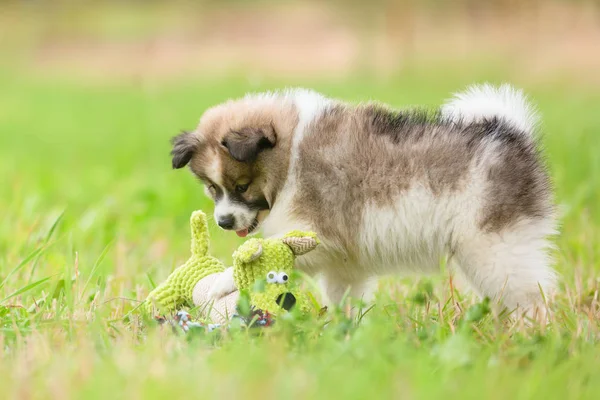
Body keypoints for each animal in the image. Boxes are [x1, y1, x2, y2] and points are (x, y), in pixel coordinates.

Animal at [171, 85, 556, 318]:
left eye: (242, 186)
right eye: (212, 188)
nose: (223, 222)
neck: (288, 159)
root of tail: (510, 135)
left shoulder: (316, 232)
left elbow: (264, 251)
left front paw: (220, 282)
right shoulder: (343, 262)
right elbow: (343, 295)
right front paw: (344, 329)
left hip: (495, 248)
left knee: (529, 296)